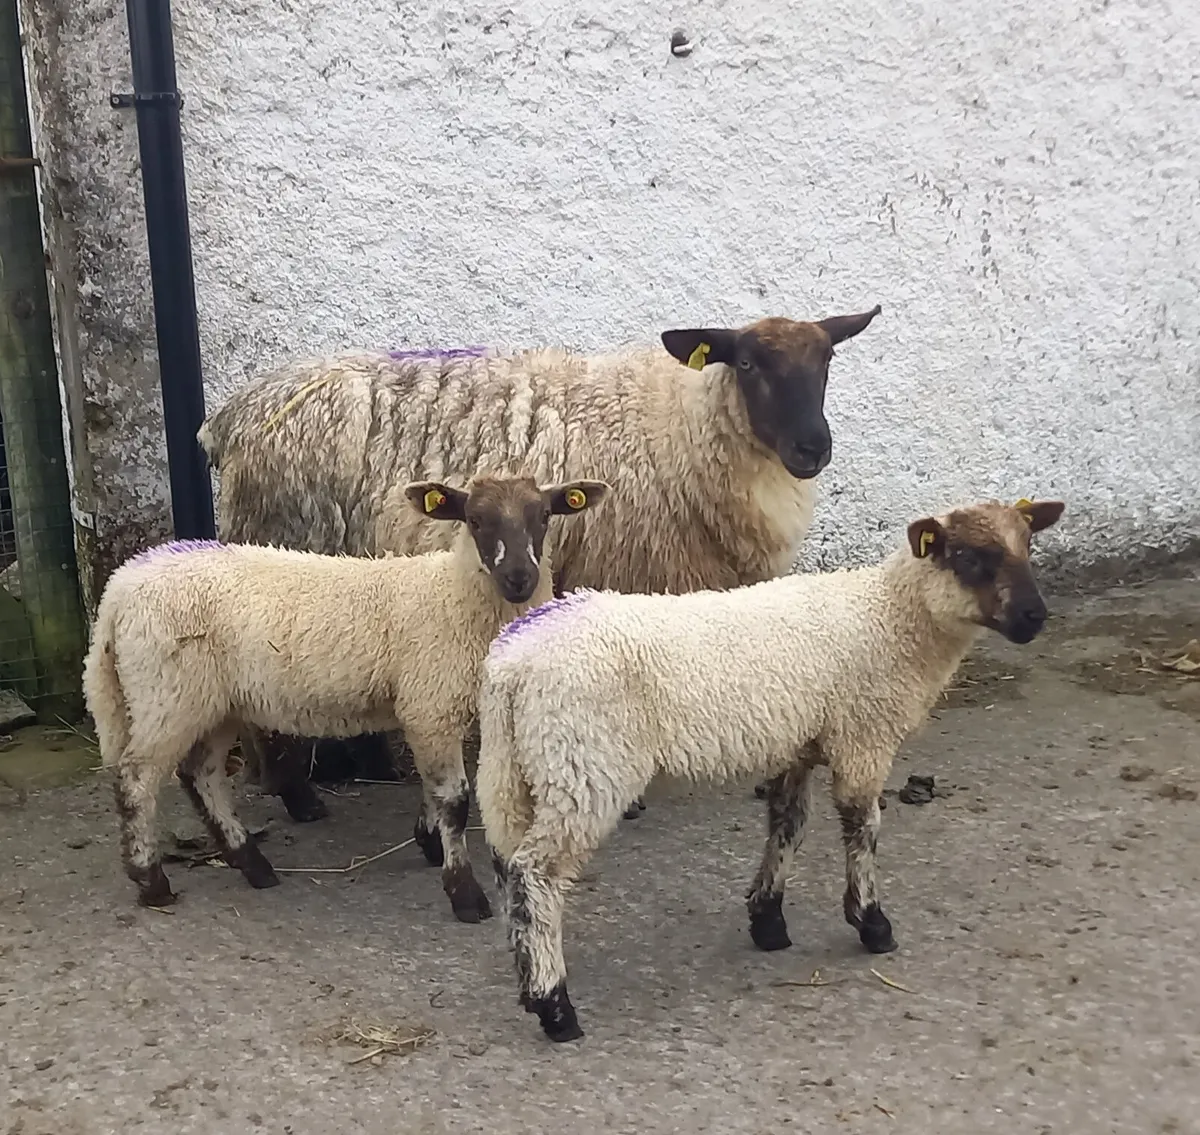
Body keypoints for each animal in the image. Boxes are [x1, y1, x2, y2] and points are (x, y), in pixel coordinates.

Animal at [81, 474, 608, 923]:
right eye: (476, 519)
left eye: (544, 515)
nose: (519, 578)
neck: (452, 592)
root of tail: (120, 588)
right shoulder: (431, 702)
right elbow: (455, 801)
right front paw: (464, 893)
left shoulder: (430, 707)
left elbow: (435, 791)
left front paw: (428, 840)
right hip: (166, 694)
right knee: (136, 779)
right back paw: (152, 880)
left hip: (213, 701)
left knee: (202, 773)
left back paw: (251, 864)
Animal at [197, 307, 883, 819]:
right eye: (746, 363)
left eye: (826, 362)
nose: (812, 449)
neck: (680, 426)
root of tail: (229, 419)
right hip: (280, 549)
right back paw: (299, 796)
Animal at [475, 496, 1066, 1042]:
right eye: (969, 557)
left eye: (1027, 544)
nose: (1035, 617)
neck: (889, 617)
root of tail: (511, 665)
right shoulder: (863, 735)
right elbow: (864, 828)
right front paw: (871, 922)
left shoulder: (797, 744)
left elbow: (788, 826)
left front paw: (768, 919)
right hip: (585, 764)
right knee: (537, 875)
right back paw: (555, 1006)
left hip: (516, 770)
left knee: (511, 871)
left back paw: (528, 982)